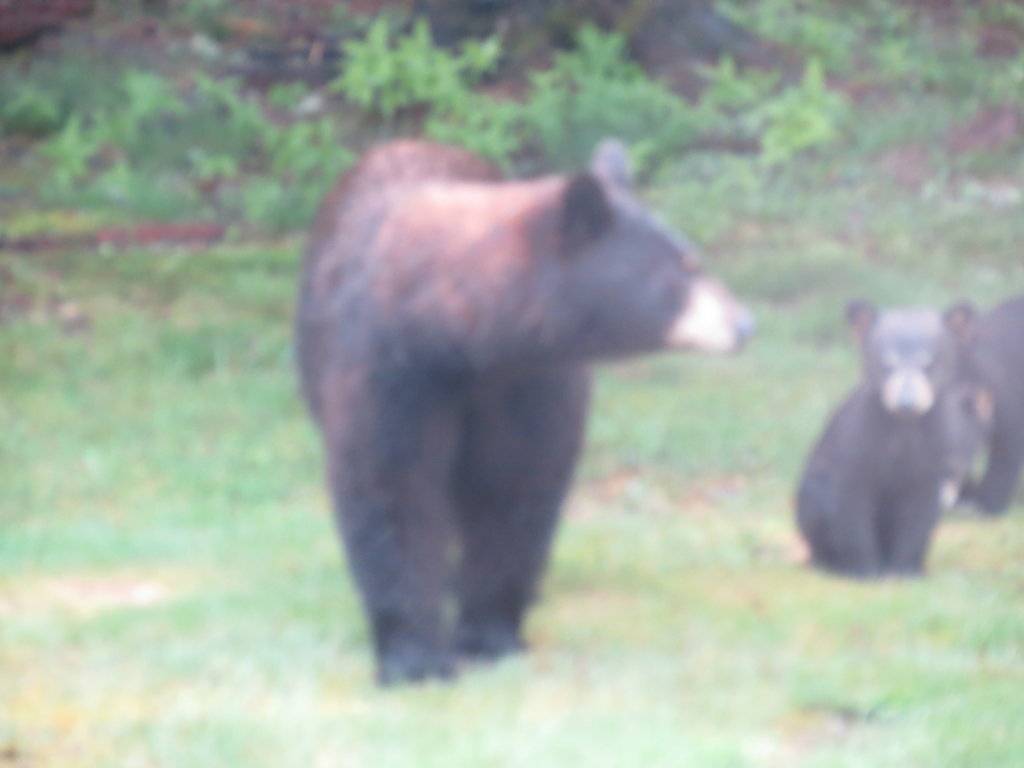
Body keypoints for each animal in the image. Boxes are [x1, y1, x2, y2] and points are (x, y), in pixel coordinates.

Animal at [296, 138, 755, 685]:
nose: (745, 323)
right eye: (683, 268)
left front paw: (490, 635)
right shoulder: (392, 368)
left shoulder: (530, 380)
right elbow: (390, 484)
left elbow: (515, 485)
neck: (465, 338)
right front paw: (415, 658)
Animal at [796, 300, 980, 578]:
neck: (903, 427)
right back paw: (830, 561)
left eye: (928, 363)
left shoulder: (934, 452)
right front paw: (864, 570)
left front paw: (906, 570)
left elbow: (920, 510)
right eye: (887, 363)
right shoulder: (858, 442)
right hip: (813, 487)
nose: (907, 403)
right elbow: (852, 503)